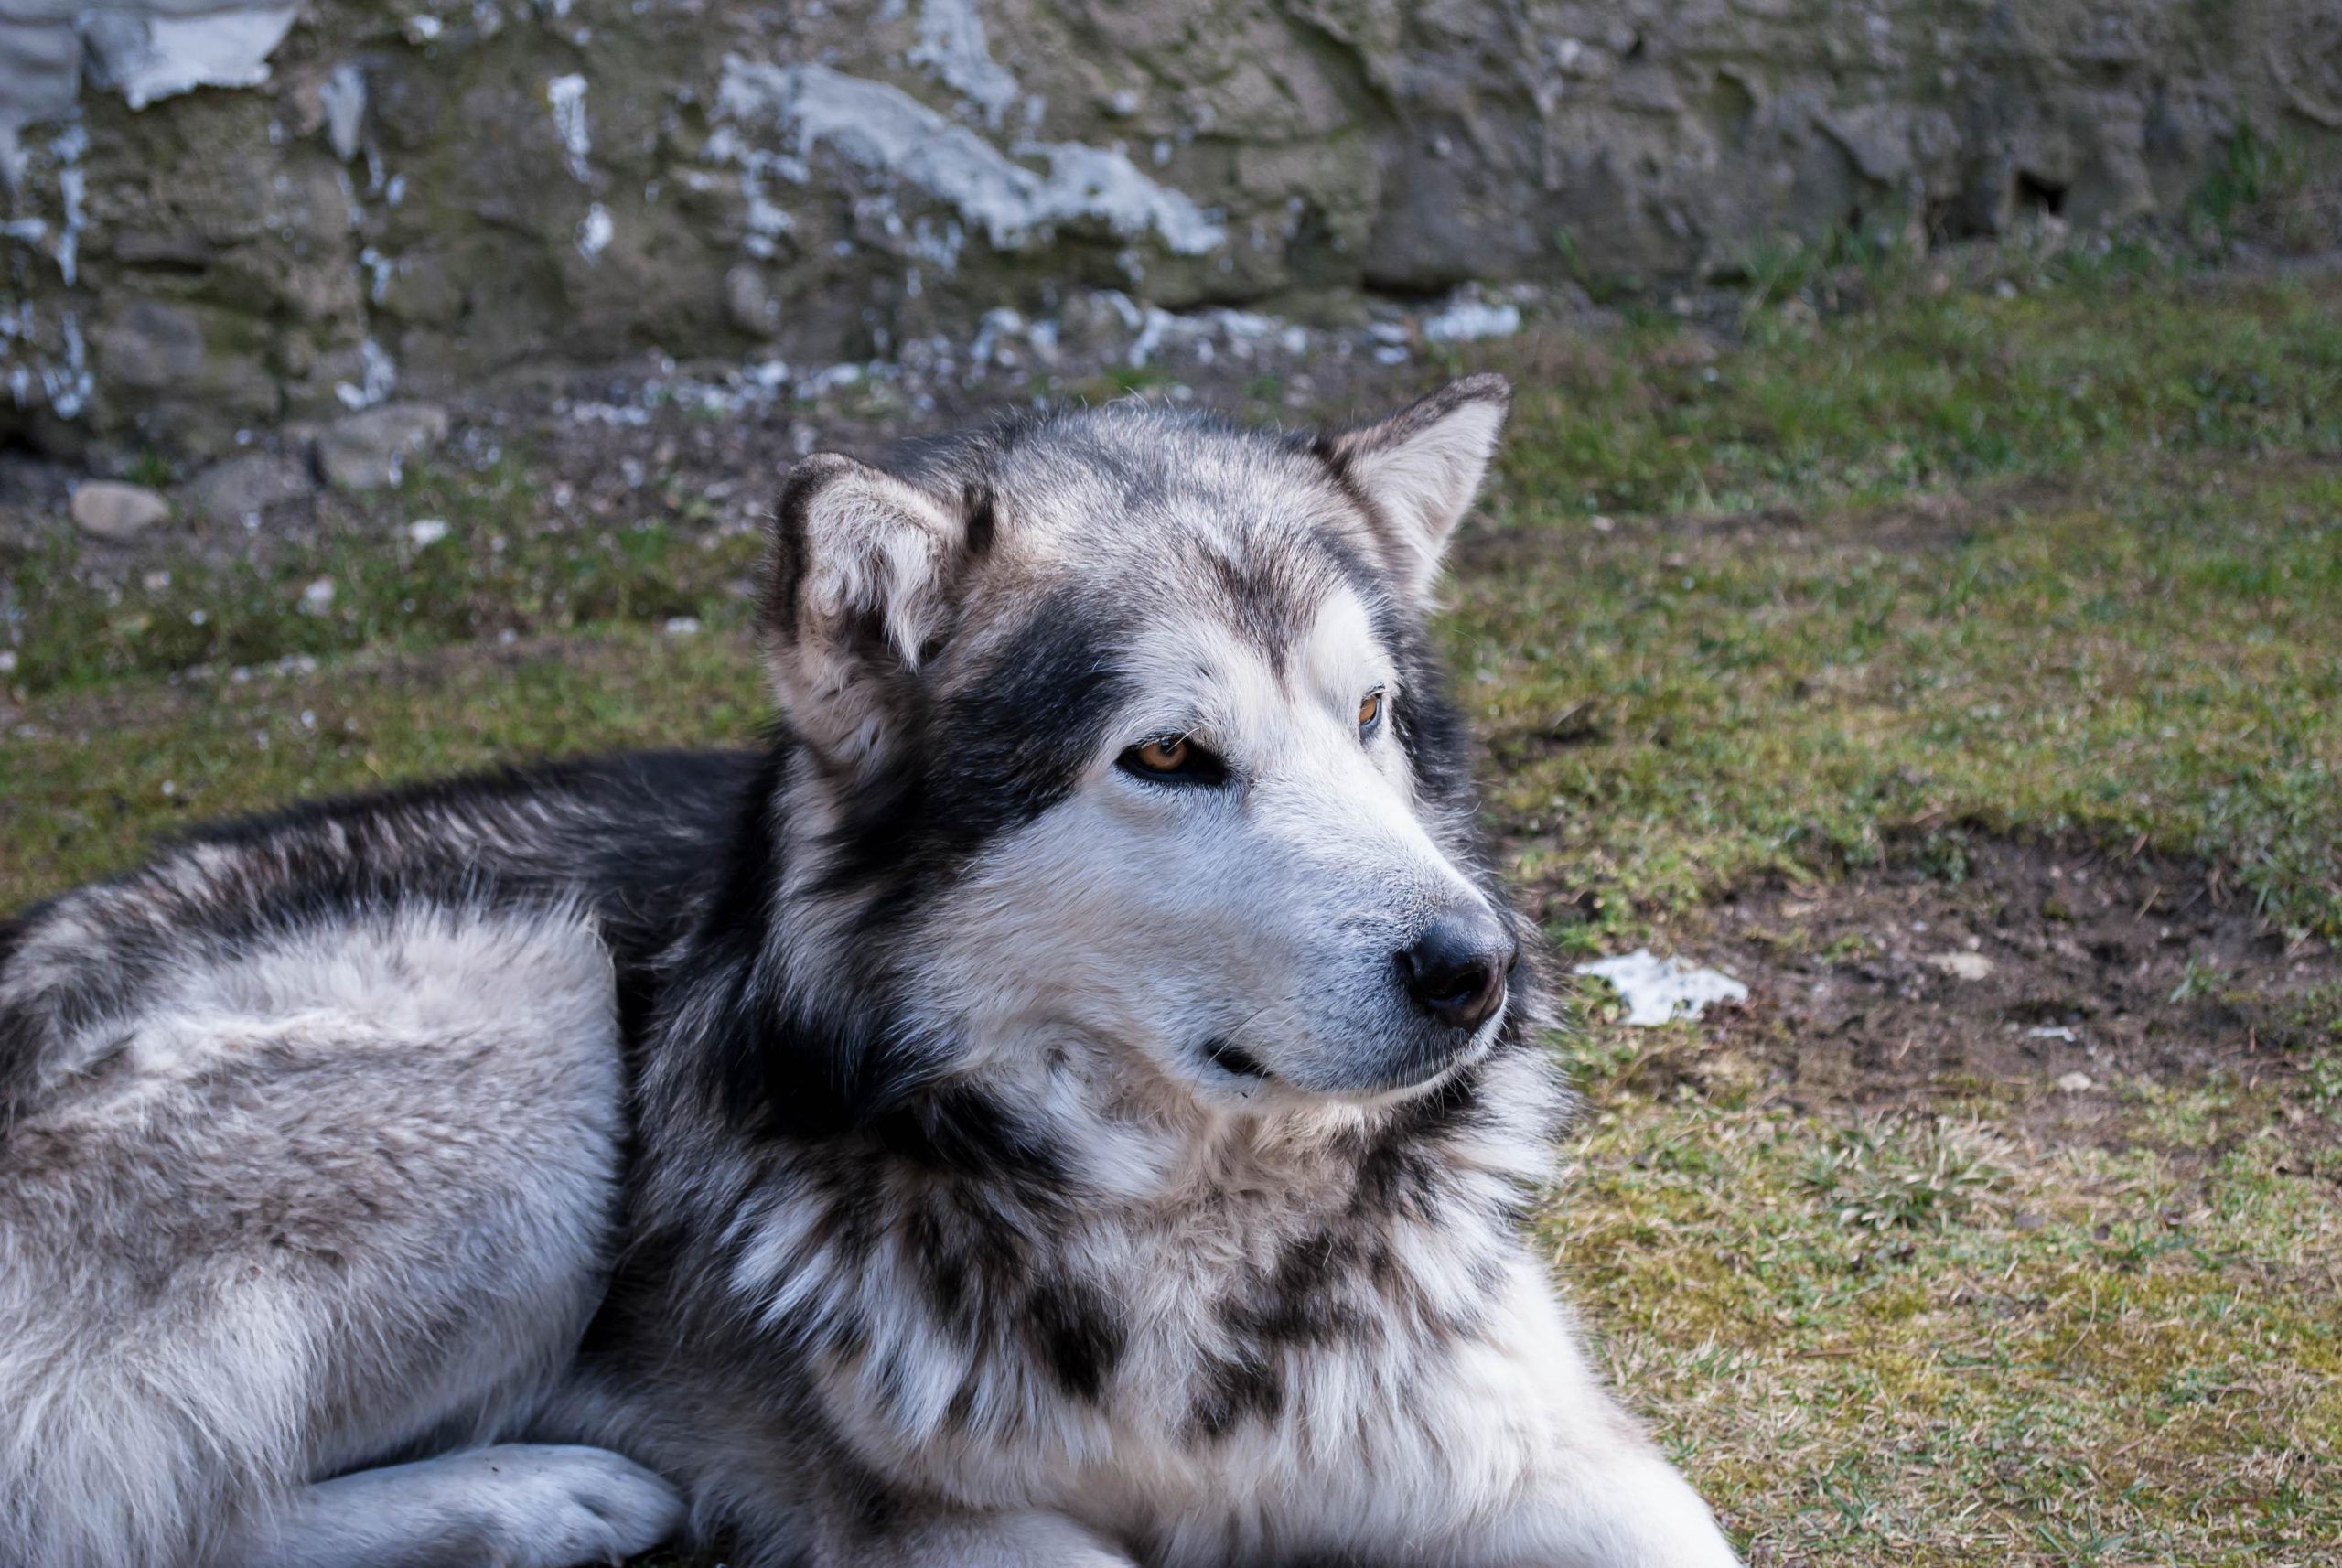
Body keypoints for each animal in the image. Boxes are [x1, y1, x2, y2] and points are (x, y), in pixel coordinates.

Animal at [0, 381, 1742, 1568]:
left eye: (1370, 713)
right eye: (1169, 754)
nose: (1477, 967)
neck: (1190, 1235)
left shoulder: (1555, 1458)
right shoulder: (937, 1523)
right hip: (535, 1020)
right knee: (138, 1516)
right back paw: (544, 1493)